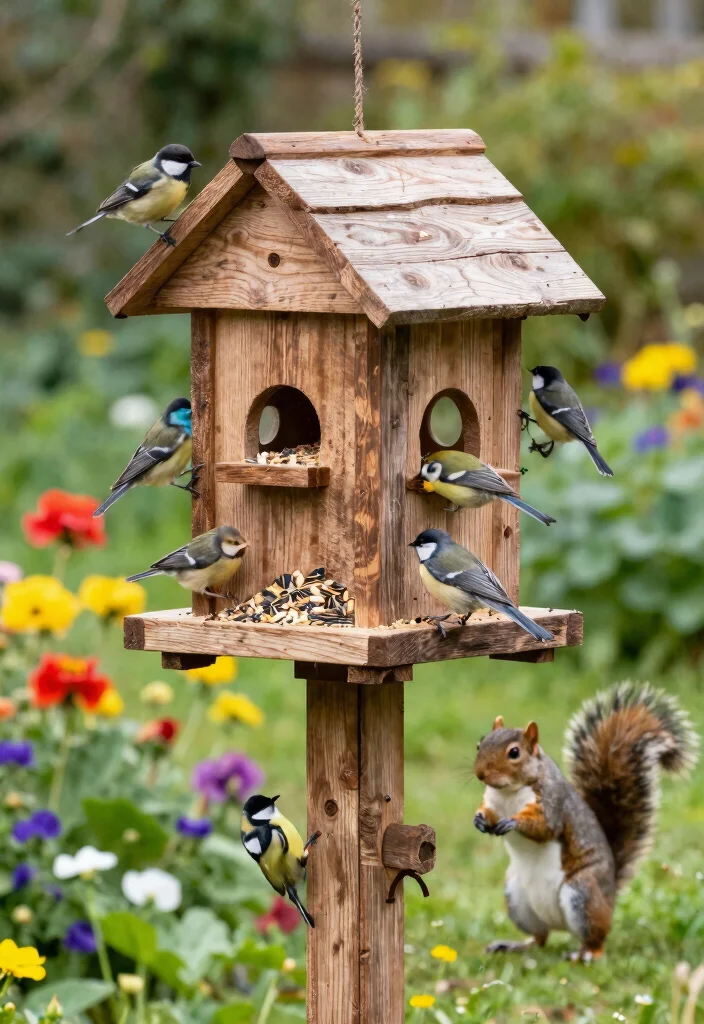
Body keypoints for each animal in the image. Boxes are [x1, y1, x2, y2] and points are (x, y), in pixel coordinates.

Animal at [473, 681, 698, 961]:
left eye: (514, 752)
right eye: (480, 744)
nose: (480, 773)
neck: (509, 792)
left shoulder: (553, 804)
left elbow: (545, 828)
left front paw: (513, 823)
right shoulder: (493, 801)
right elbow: (488, 812)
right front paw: (479, 820)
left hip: (584, 895)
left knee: (595, 938)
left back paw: (587, 954)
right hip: (518, 899)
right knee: (540, 938)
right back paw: (514, 945)